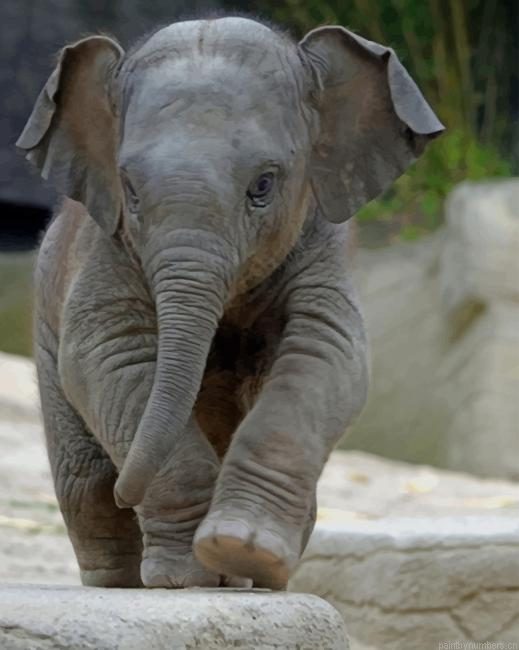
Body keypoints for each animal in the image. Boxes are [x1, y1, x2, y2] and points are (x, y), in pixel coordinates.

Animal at [18, 16, 443, 590]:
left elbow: (325, 352)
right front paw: (186, 579)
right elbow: (110, 354)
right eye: (130, 191)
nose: (128, 490)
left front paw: (243, 550)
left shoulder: (322, 243)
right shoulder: (106, 247)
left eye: (263, 185)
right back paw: (125, 582)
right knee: (85, 483)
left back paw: (251, 581)